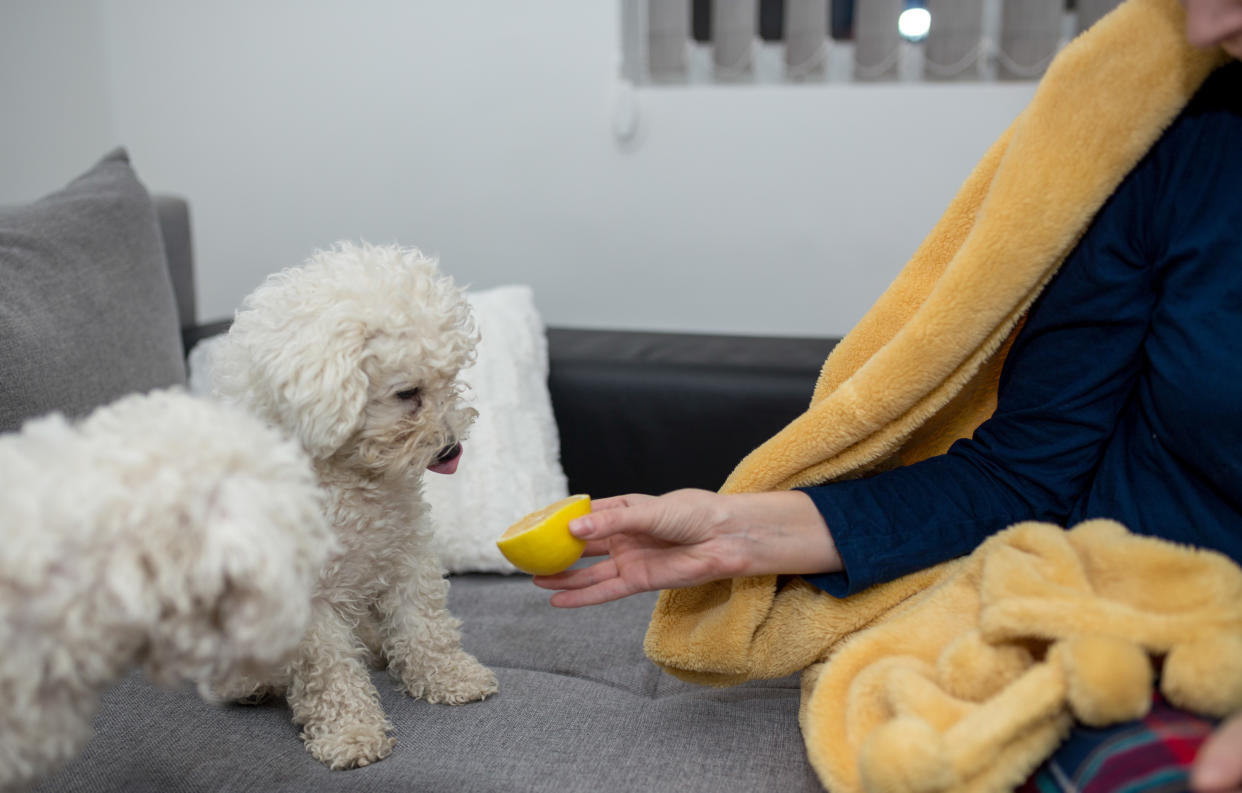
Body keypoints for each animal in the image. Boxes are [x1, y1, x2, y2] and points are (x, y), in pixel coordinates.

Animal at [207, 241, 494, 770]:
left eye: (450, 381)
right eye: (407, 393)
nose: (450, 450)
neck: (349, 480)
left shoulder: (408, 554)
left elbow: (425, 626)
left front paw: (450, 677)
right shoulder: (306, 598)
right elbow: (329, 671)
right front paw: (352, 733)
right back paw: (250, 685)